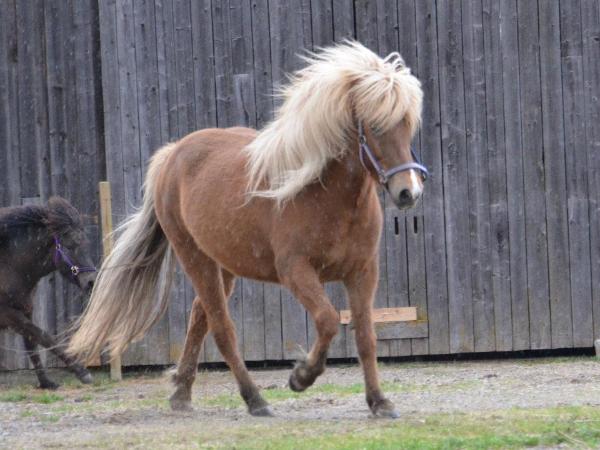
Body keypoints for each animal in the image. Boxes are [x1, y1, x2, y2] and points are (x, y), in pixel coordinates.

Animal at [0, 197, 96, 388]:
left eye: (86, 244)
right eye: (70, 245)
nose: (91, 282)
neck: (8, 264)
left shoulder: (26, 309)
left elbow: (32, 342)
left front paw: (46, 382)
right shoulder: (7, 313)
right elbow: (44, 337)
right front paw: (82, 372)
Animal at [68, 41, 427, 418]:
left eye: (408, 124)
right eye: (375, 126)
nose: (409, 192)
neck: (325, 195)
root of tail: (172, 154)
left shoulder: (362, 272)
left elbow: (366, 337)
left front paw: (379, 401)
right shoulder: (295, 271)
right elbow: (328, 320)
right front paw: (301, 376)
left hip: (223, 265)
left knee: (200, 315)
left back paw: (181, 393)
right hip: (194, 257)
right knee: (222, 329)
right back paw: (254, 399)